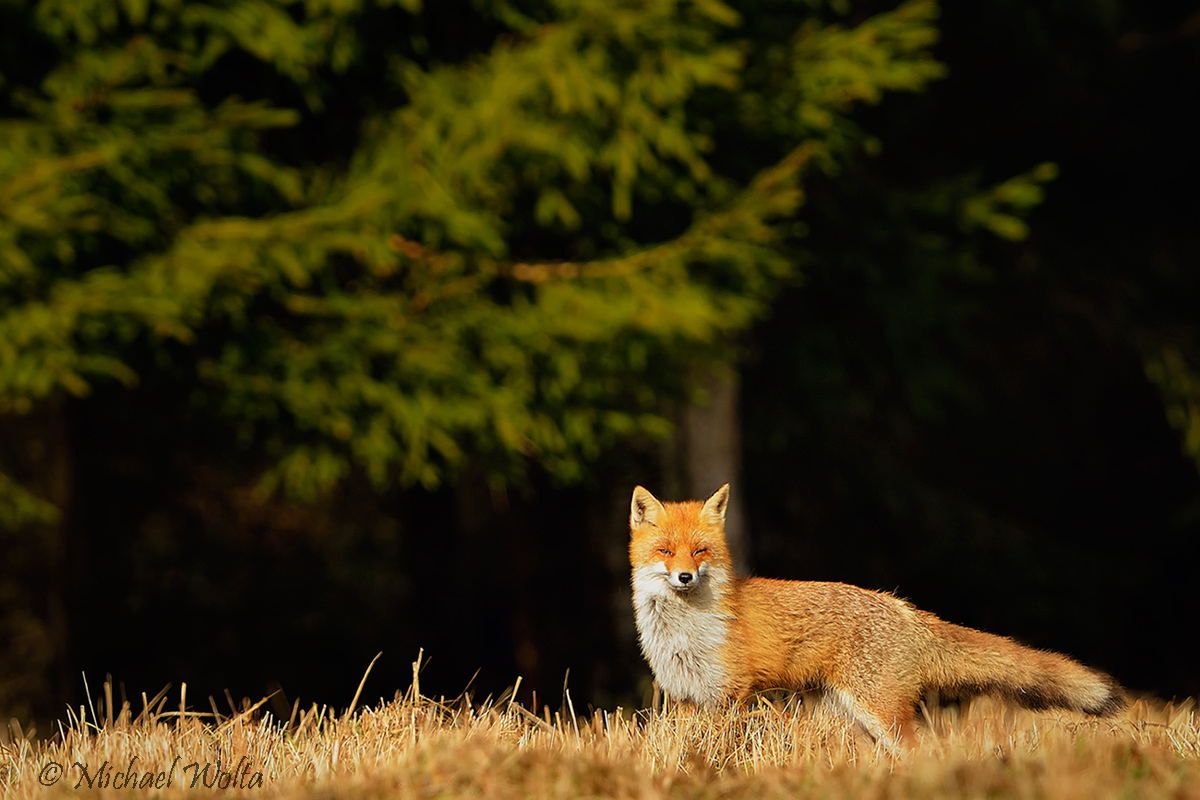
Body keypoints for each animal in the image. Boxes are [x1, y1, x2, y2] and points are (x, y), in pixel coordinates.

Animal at [628, 484, 1123, 748]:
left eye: (700, 551)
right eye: (665, 551)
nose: (686, 577)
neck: (682, 634)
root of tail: (904, 608)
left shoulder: (731, 695)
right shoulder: (686, 698)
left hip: (881, 713)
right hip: (847, 717)